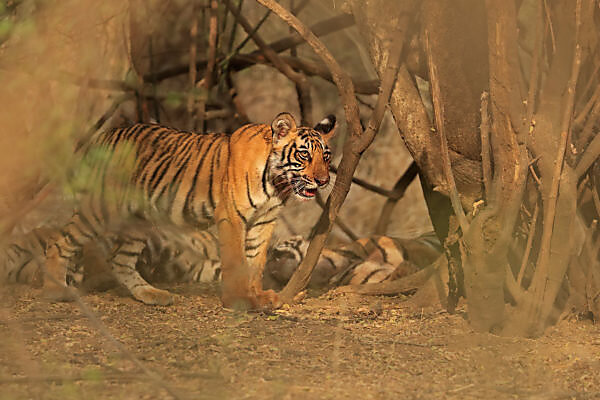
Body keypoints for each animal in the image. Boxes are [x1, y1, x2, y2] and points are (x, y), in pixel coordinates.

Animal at [40, 112, 336, 310]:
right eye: (304, 155)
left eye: (326, 156)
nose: (322, 181)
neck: (277, 183)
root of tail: (102, 136)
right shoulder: (232, 217)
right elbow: (236, 260)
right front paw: (239, 300)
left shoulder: (264, 221)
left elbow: (255, 262)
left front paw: (259, 297)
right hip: (99, 208)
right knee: (58, 240)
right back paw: (55, 290)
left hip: (137, 219)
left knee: (119, 259)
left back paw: (152, 295)